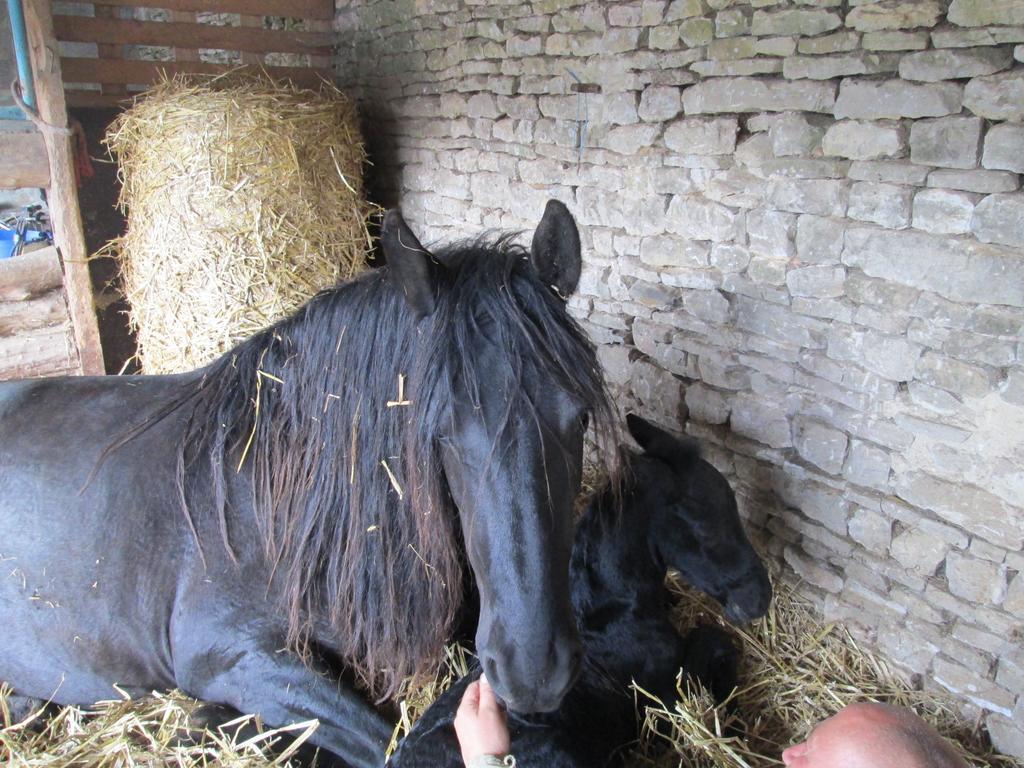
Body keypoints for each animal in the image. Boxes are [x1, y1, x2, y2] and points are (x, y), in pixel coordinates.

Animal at [0, 201, 614, 765]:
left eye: (580, 417)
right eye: (441, 432)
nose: (534, 673)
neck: (280, 505)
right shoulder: (229, 653)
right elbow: (389, 745)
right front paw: (208, 723)